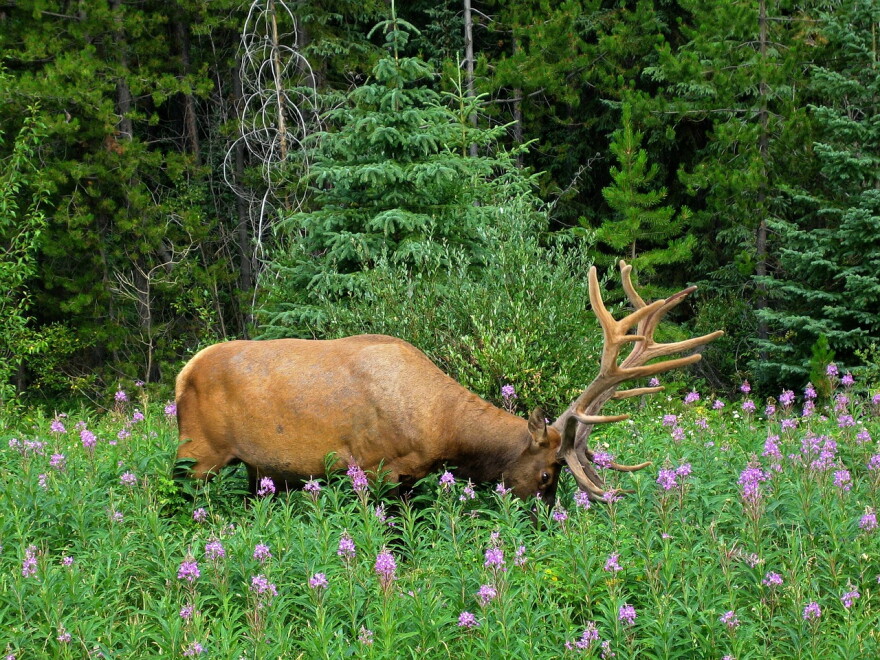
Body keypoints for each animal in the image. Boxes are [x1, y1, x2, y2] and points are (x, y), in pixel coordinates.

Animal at [174, 261, 723, 503]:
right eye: (547, 475)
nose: (543, 522)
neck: (441, 429)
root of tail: (183, 373)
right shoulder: (377, 469)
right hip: (197, 452)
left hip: (253, 467)